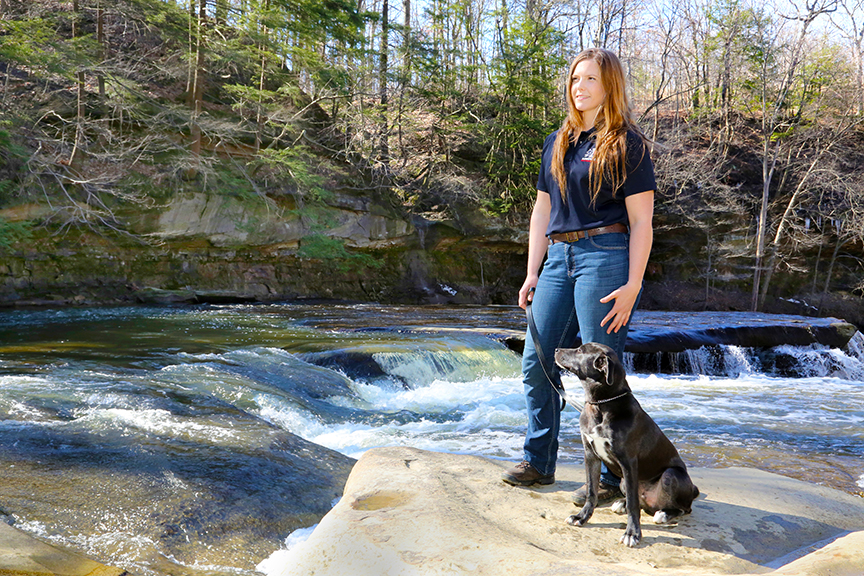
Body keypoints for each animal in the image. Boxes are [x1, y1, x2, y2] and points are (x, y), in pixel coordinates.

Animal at [552, 344, 704, 548]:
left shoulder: (628, 462)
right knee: (638, 500)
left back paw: (664, 514)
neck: (601, 405)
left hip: (670, 475)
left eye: (580, 350)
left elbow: (633, 505)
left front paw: (632, 533)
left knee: (683, 507)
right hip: (624, 481)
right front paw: (581, 517)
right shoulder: (590, 455)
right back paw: (622, 503)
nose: (555, 349)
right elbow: (592, 492)